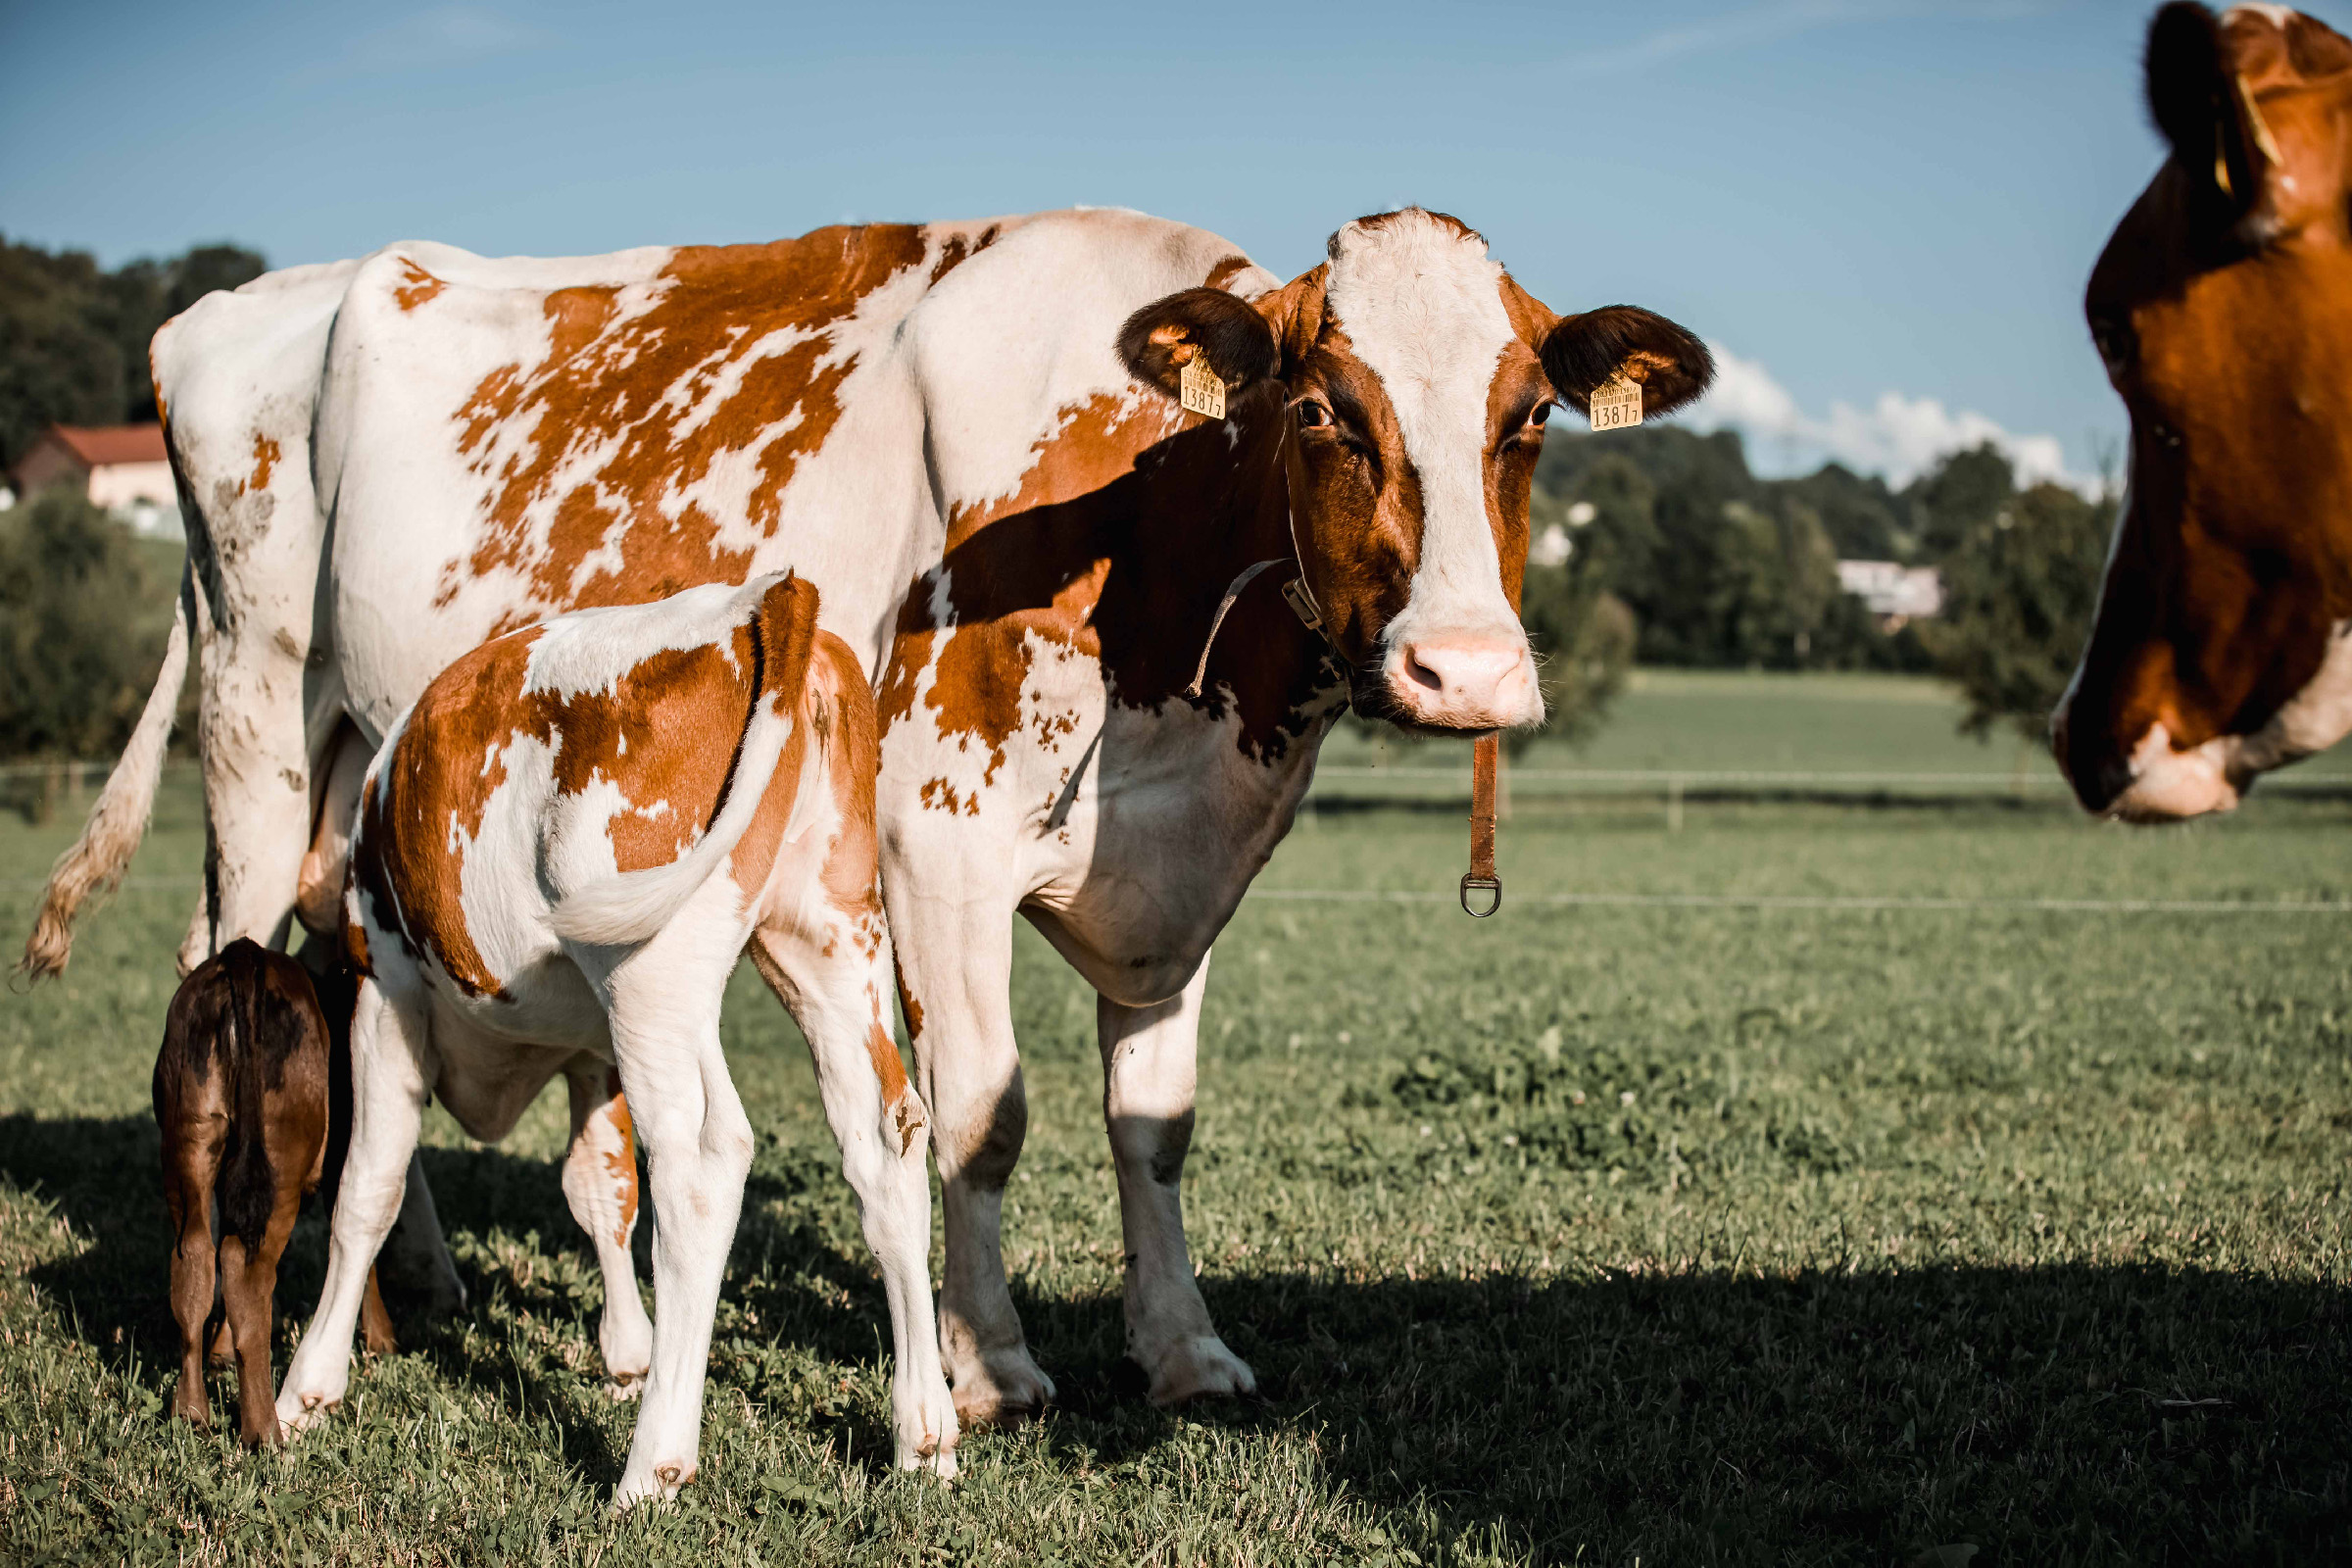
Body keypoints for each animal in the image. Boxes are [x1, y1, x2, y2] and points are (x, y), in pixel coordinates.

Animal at [155, 945, 390, 1447]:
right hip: (281, 1162)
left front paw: (220, 1352)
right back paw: (266, 1434)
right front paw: (383, 1339)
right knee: (245, 1271)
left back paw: (191, 1413)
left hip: (190, 1140)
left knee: (194, 1260)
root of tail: (245, 954)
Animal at [279, 570, 959, 1504]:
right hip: (821, 940)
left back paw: (652, 1466)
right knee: (884, 1136)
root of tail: (767, 595)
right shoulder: (595, 1051)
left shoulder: (387, 987)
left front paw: (307, 1390)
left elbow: (366, 1189)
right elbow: (600, 1188)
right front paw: (628, 1354)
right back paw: (924, 1434)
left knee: (702, 1163)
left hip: (649, 976)